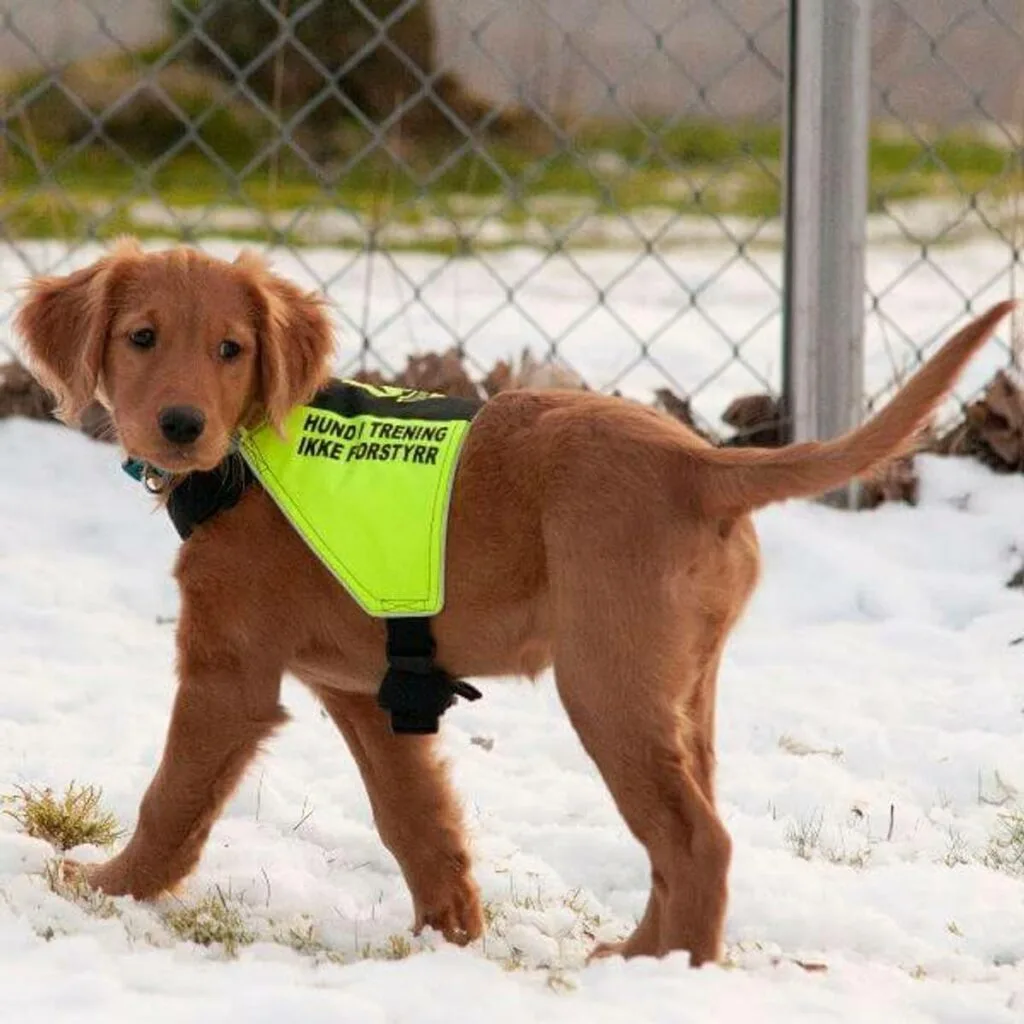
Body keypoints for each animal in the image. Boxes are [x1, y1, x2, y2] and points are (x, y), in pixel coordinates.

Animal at [14, 237, 1014, 967]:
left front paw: (107, 889)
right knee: (681, 837)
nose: (181, 426)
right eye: (142, 337)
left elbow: (172, 798)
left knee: (699, 842)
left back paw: (672, 978)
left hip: (606, 683)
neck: (246, 457)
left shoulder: (227, 674)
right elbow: (416, 821)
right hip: (681, 689)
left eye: (233, 350)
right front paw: (449, 936)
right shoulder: (367, 693)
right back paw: (637, 956)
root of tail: (702, 462)